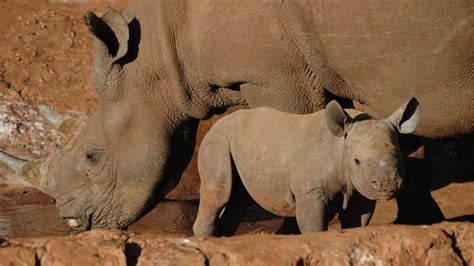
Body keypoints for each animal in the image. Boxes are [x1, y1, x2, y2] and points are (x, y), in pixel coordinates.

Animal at [193, 98, 418, 236]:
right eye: (356, 161)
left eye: (399, 156)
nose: (387, 186)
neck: (340, 146)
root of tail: (215, 124)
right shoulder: (311, 191)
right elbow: (313, 226)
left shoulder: (359, 189)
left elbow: (356, 222)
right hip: (217, 142)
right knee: (219, 194)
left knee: (238, 200)